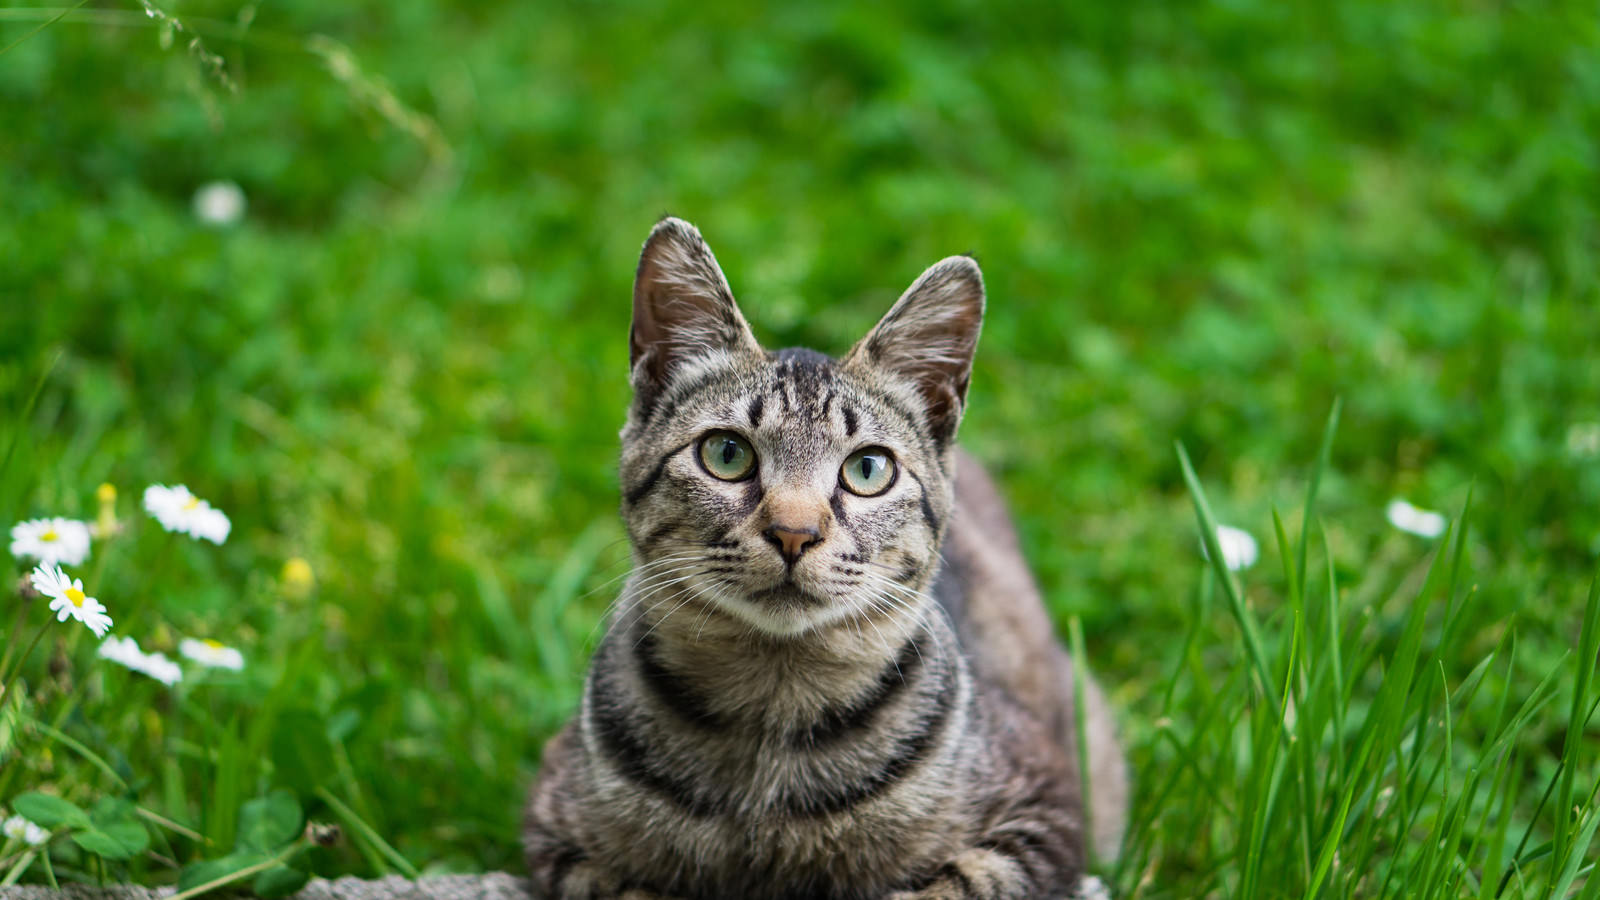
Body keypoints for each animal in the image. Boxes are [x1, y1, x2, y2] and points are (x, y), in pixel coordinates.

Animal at [524, 219, 1126, 896]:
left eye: (868, 469)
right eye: (726, 453)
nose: (794, 533)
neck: (773, 705)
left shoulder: (1047, 808)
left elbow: (953, 886)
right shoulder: (556, 826)